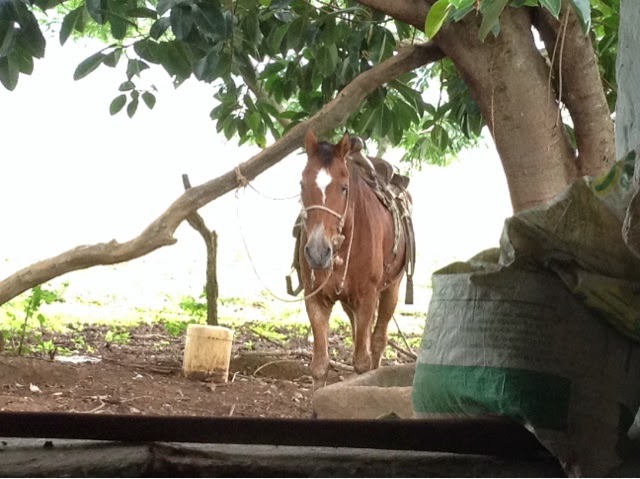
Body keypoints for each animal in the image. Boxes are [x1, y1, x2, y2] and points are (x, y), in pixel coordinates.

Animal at [298, 129, 410, 390]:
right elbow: (320, 366)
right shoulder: (315, 298)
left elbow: (362, 362)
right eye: (302, 183)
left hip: (392, 289)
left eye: (344, 187)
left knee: (378, 340)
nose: (318, 251)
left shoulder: (368, 297)